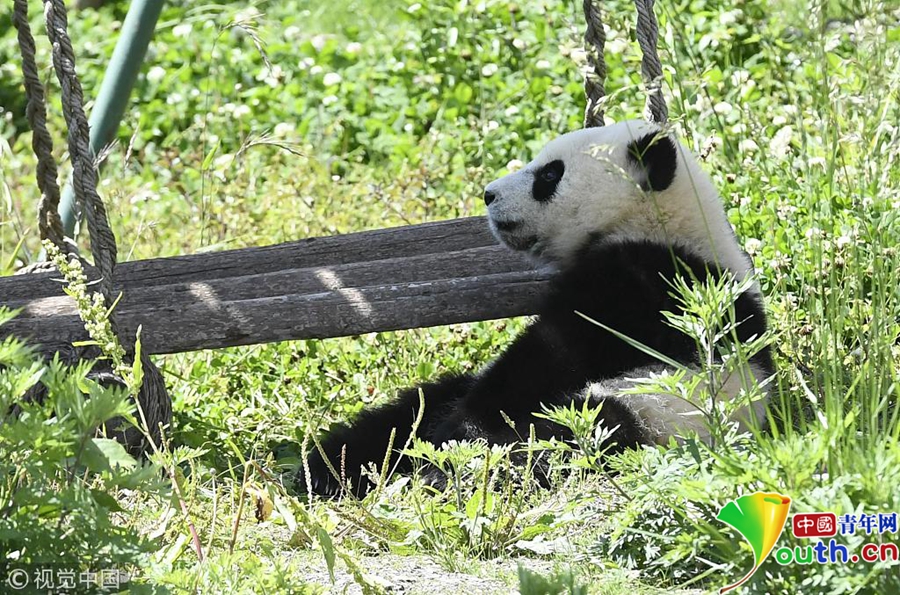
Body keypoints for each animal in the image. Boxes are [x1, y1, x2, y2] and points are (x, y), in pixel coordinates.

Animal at [304, 118, 772, 496]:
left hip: (651, 410)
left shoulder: (648, 284)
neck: (661, 222)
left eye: (549, 173)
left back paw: (448, 471)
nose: (489, 194)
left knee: (567, 433)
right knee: (418, 405)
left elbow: (552, 355)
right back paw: (332, 464)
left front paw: (457, 441)